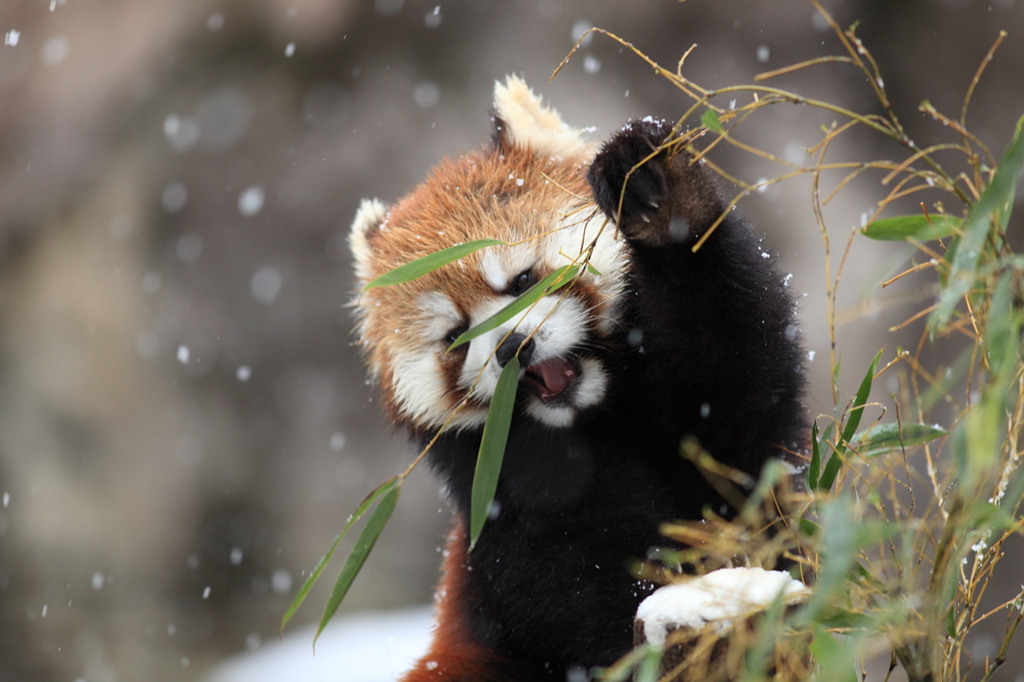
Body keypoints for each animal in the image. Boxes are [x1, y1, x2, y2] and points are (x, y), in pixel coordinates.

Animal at [348, 76, 802, 675]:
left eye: (522, 280)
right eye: (457, 336)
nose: (513, 348)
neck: (593, 415)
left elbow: (737, 416)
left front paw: (663, 202)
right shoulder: (503, 491)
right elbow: (568, 582)